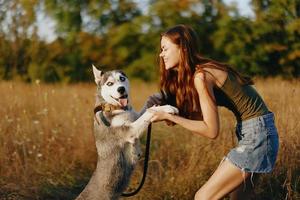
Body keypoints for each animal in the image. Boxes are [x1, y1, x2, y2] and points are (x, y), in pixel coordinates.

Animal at [75, 65, 178, 200]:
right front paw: (166, 108)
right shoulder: (130, 131)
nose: (121, 89)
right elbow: (148, 113)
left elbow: (145, 108)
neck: (115, 108)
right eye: (109, 83)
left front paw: (157, 95)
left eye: (122, 78)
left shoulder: (134, 118)